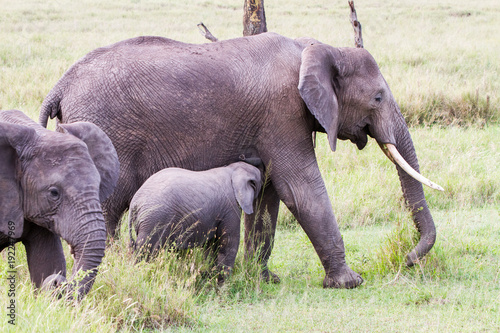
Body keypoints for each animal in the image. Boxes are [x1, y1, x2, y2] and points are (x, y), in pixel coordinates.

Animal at [128, 162, 262, 282]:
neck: (233, 169)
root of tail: (134, 203)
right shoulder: (230, 207)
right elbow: (229, 242)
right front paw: (223, 284)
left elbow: (210, 245)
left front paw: (208, 276)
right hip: (154, 219)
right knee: (146, 251)